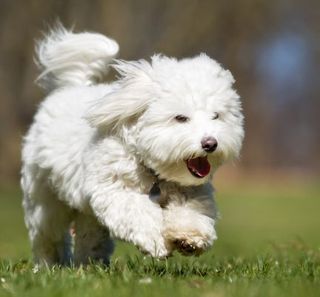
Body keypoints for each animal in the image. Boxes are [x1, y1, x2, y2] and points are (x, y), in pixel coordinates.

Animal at [20, 26, 245, 266]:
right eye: (180, 118)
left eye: (216, 116)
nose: (210, 143)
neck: (153, 171)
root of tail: (72, 87)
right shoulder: (113, 189)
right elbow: (138, 212)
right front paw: (156, 241)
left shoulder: (191, 192)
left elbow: (190, 211)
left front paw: (189, 237)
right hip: (44, 200)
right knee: (48, 235)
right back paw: (49, 264)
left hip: (85, 211)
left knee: (89, 233)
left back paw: (90, 263)